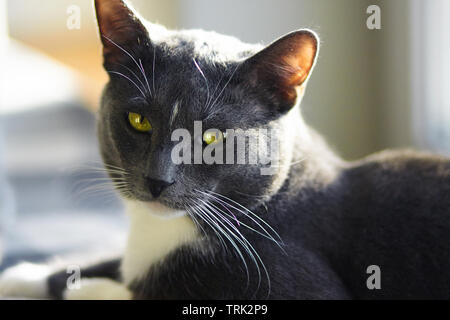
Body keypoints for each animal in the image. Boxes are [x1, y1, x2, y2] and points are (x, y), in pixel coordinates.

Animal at [0, 0, 450, 300]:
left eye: (211, 138)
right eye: (139, 120)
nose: (158, 179)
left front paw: (86, 288)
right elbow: (108, 257)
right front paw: (24, 276)